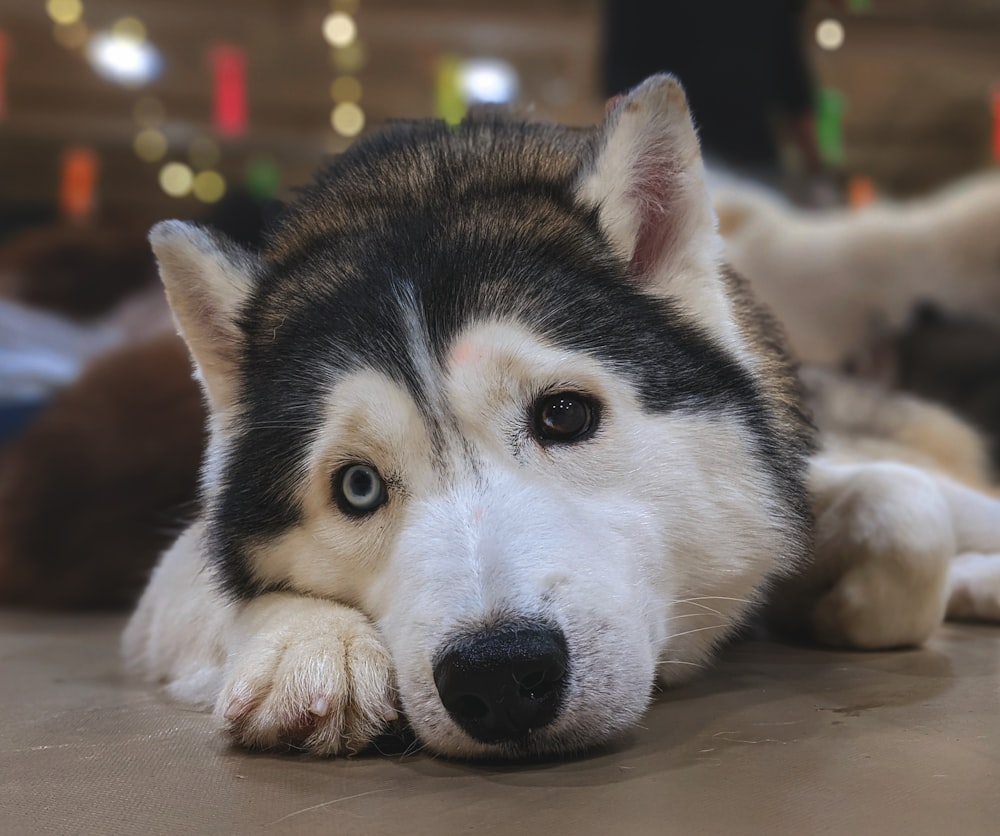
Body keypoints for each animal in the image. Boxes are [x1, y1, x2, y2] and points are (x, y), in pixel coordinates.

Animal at [123, 76, 1000, 756]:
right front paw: (312, 644)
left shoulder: (792, 484)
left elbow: (902, 513)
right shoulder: (166, 583)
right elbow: (216, 586)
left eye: (565, 416)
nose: (500, 673)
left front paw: (840, 606)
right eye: (358, 488)